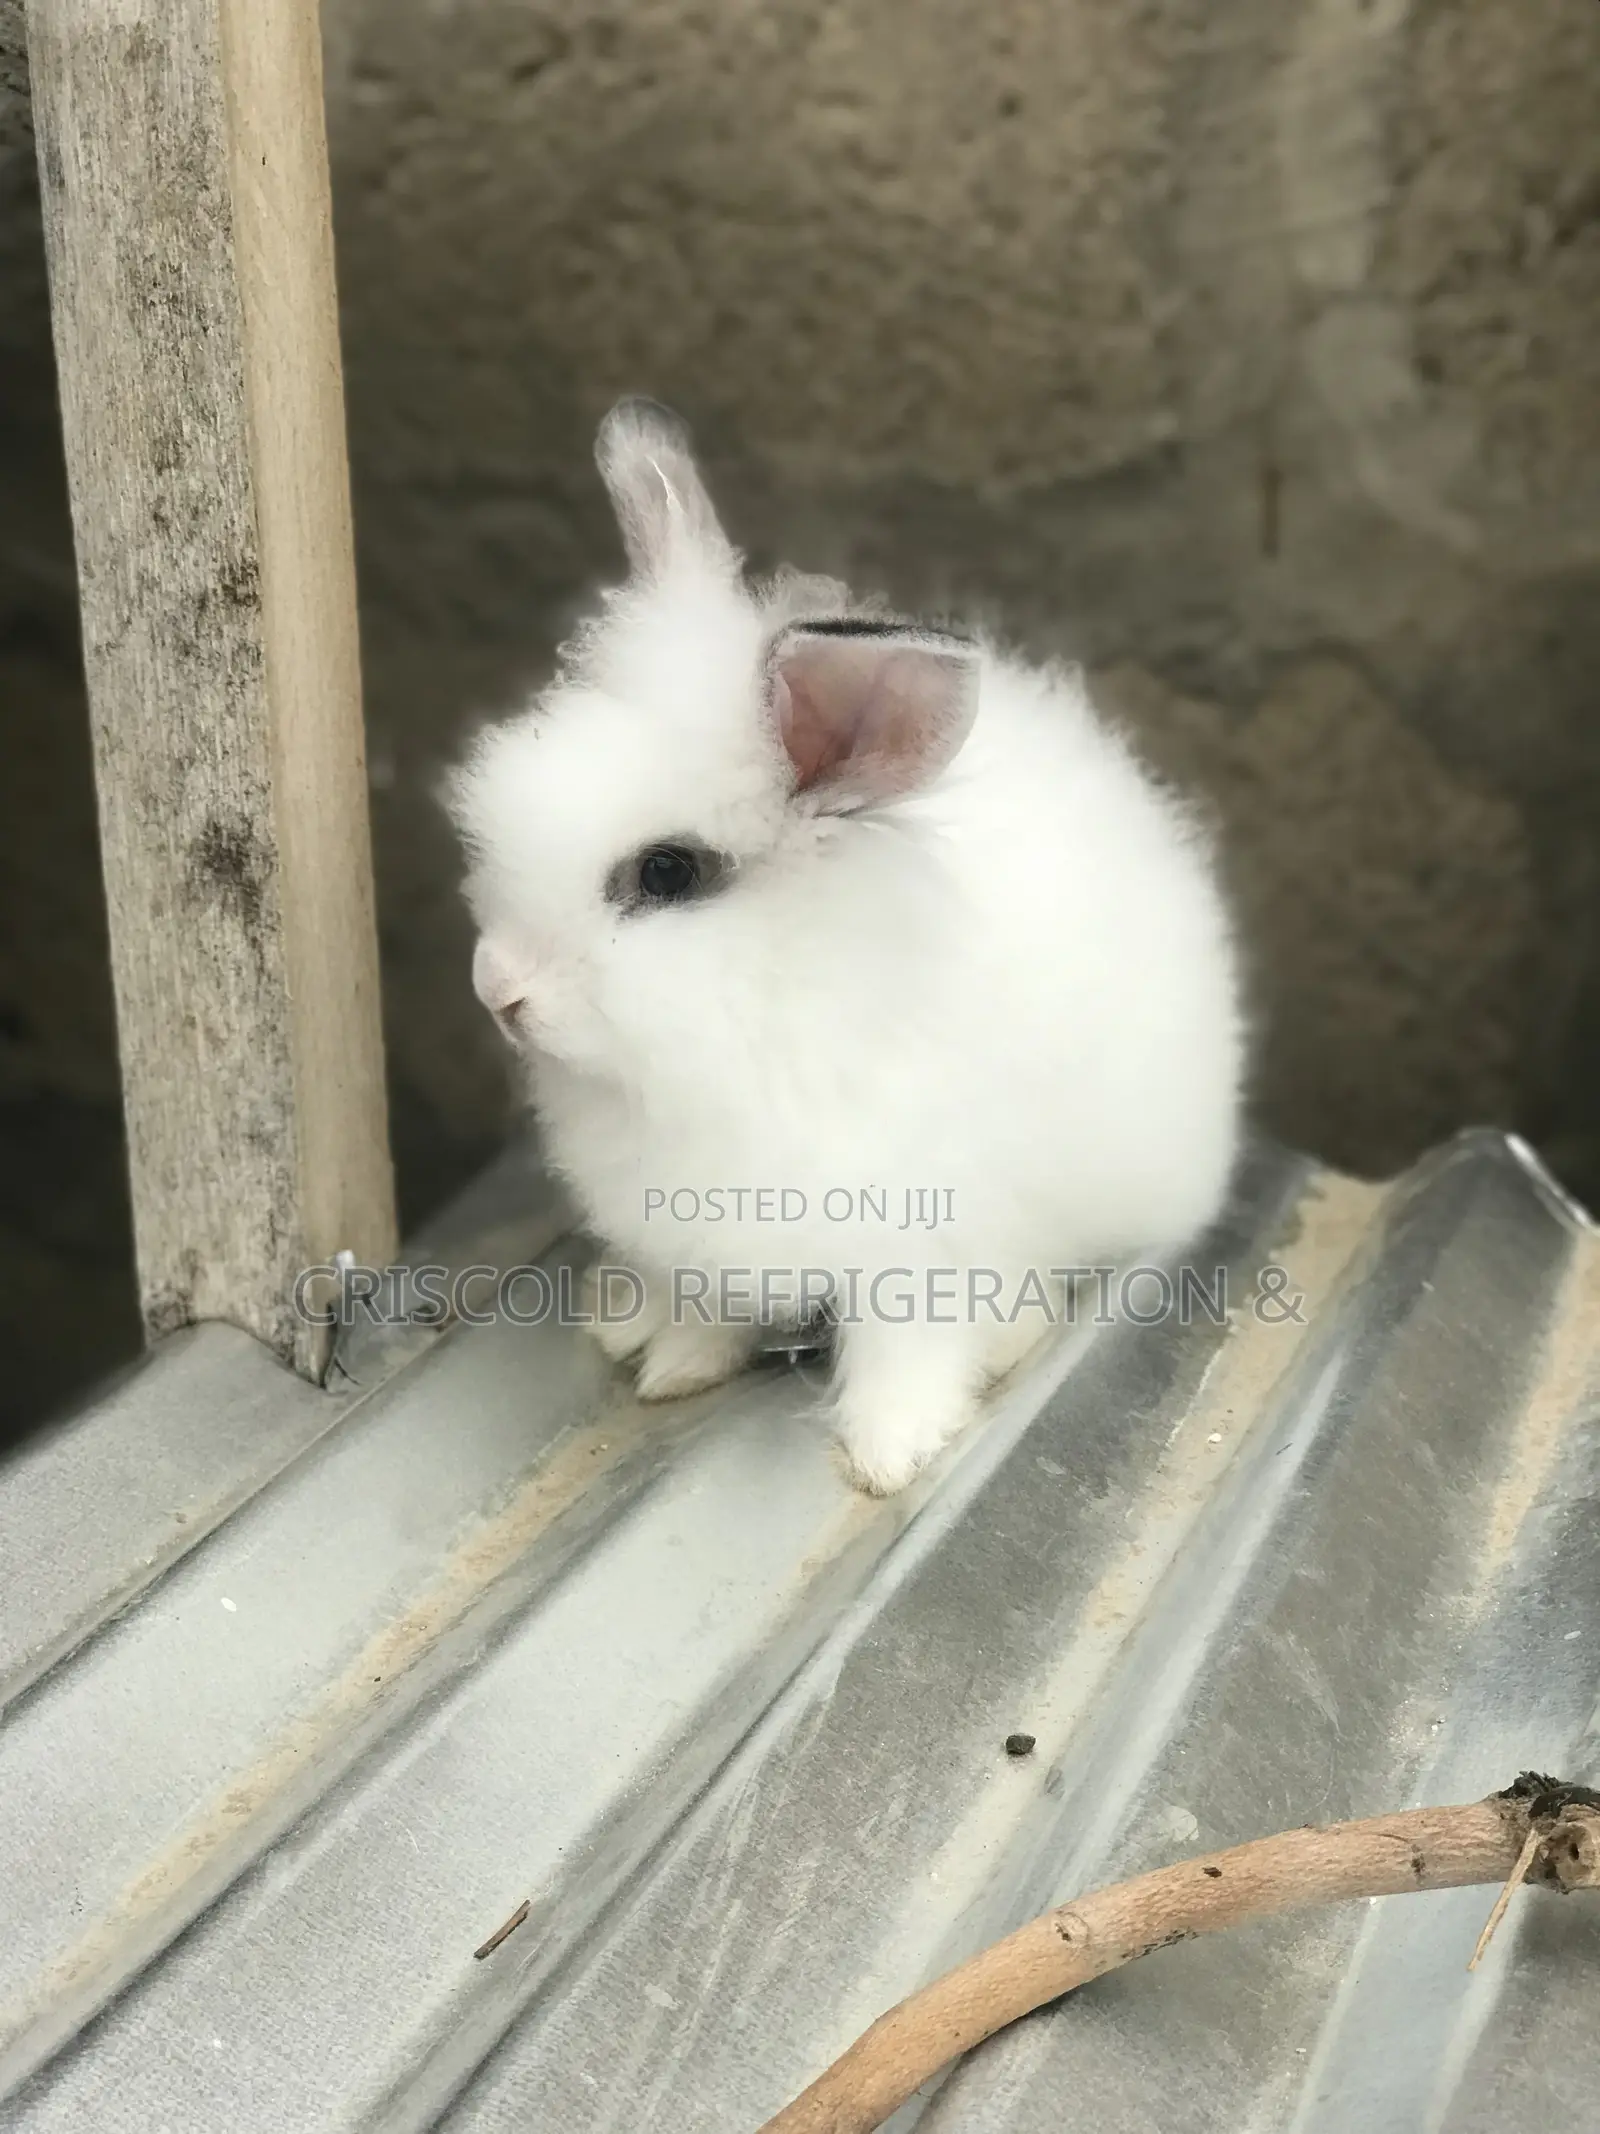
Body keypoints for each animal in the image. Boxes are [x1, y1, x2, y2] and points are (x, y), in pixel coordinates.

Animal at [448, 399, 1244, 1495]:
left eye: (667, 872)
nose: (497, 989)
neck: (773, 1010)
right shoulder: (705, 1243)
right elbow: (709, 1308)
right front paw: (673, 1364)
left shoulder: (922, 1246)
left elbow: (906, 1351)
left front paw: (889, 1453)